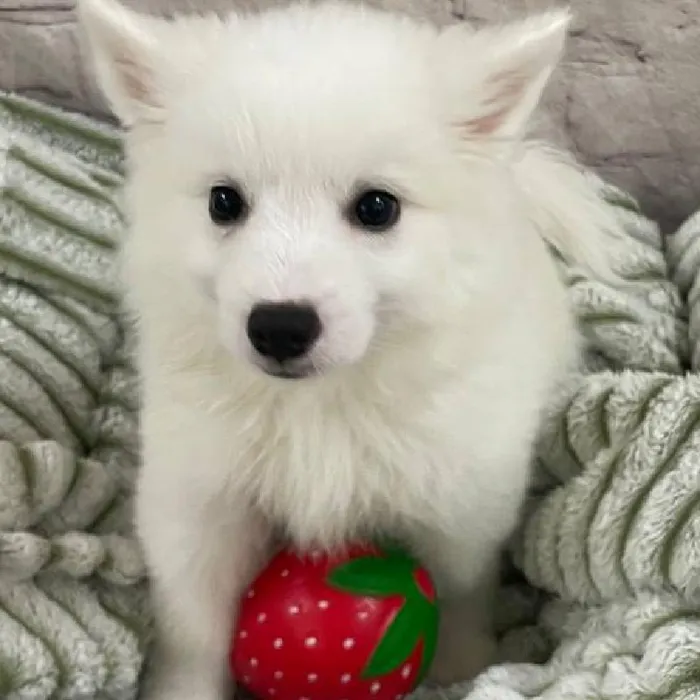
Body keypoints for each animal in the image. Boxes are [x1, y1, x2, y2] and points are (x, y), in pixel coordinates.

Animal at [78, 0, 622, 697]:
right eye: (224, 202)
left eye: (377, 208)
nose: (279, 327)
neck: (321, 403)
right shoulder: (200, 499)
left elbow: (462, 595)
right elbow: (195, 627)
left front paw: (461, 673)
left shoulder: (460, 500)